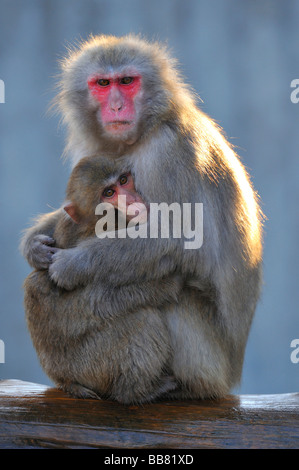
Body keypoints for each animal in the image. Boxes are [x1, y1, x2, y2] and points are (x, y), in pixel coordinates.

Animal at [23, 155, 182, 404]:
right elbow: (95, 300)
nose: (132, 200)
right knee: (142, 319)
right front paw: (166, 285)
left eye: (124, 180)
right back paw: (137, 392)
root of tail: (64, 379)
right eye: (109, 193)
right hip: (91, 365)